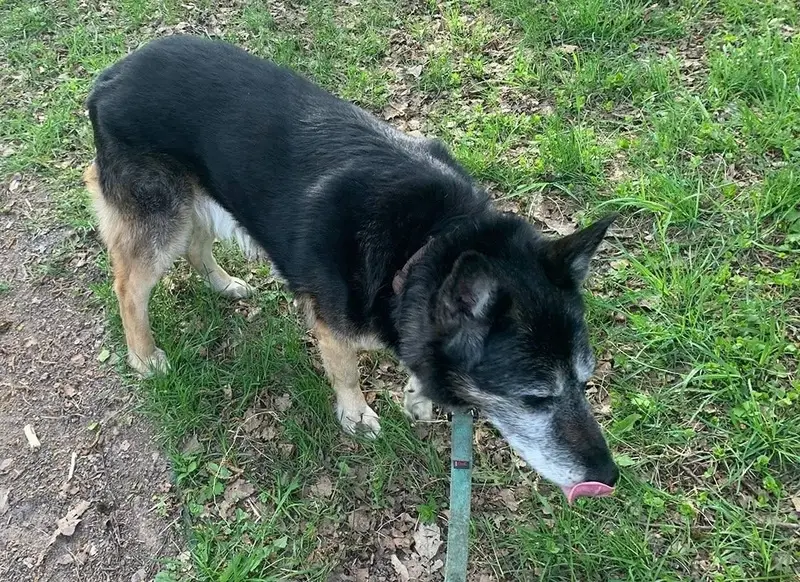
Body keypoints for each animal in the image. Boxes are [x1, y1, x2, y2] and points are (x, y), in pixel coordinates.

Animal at [84, 35, 619, 497]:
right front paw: (356, 416)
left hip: (202, 201)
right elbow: (346, 373)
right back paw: (144, 356)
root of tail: (111, 75)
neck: (425, 243)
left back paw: (223, 284)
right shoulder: (332, 328)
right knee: (128, 288)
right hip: (161, 221)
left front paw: (418, 398)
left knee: (196, 247)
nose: (610, 477)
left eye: (585, 382)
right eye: (536, 398)